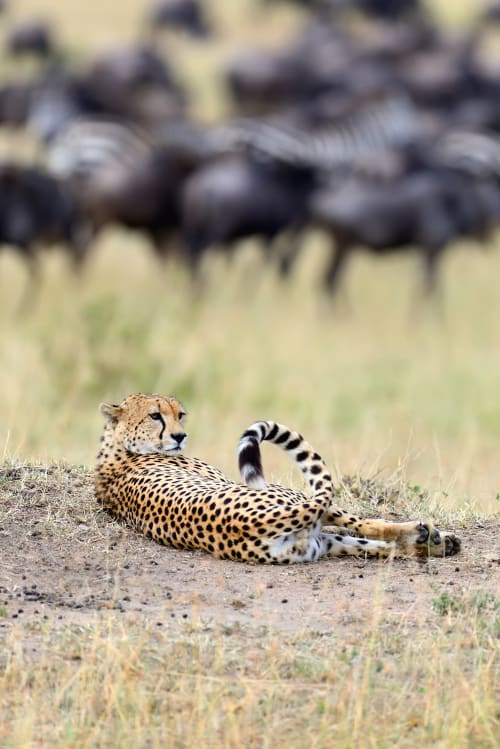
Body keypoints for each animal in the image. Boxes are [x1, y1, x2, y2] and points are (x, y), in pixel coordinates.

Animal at [94, 392, 460, 560]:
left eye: (180, 414)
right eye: (155, 416)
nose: (180, 436)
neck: (118, 450)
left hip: (318, 542)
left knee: (379, 546)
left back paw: (436, 545)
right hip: (299, 502)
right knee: (369, 527)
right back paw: (431, 536)